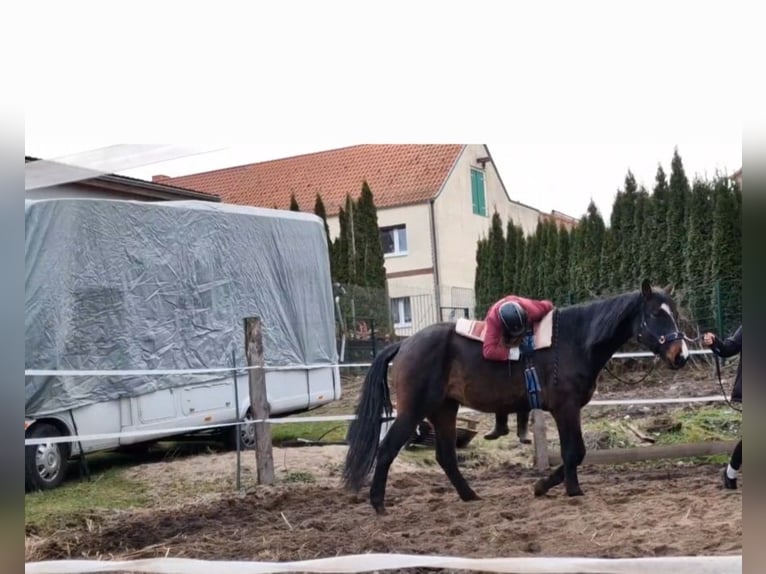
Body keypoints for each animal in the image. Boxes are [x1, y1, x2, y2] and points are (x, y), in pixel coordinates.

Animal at [344, 282, 692, 516]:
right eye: (655, 314)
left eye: (674, 314)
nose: (681, 355)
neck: (575, 340)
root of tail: (404, 344)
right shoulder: (565, 409)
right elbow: (574, 451)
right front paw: (567, 489)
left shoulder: (569, 410)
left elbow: (575, 453)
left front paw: (553, 486)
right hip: (414, 410)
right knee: (388, 449)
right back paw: (378, 504)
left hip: (444, 410)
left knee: (446, 457)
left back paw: (470, 496)